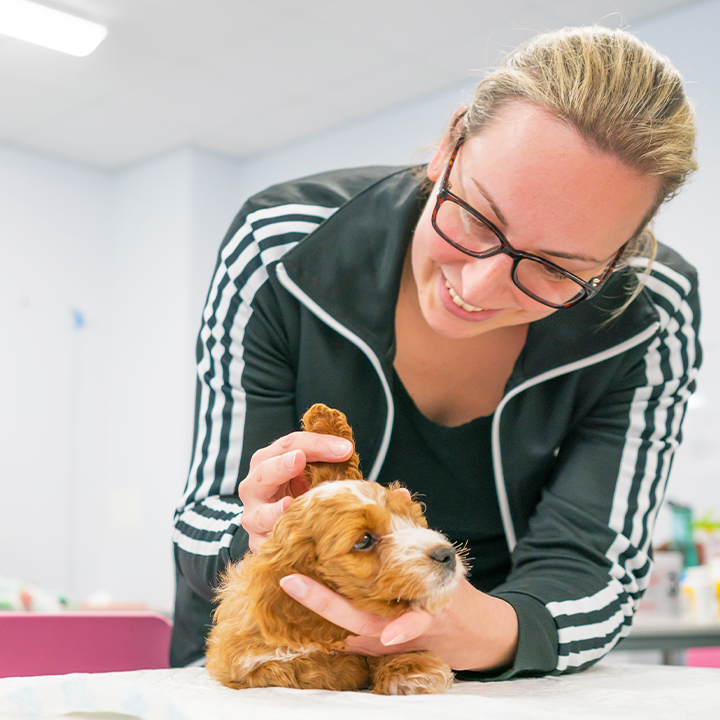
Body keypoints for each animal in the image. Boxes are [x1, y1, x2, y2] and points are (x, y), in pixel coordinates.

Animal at [205, 404, 462, 692]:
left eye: (413, 520)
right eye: (364, 541)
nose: (447, 554)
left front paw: (410, 670)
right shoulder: (241, 663)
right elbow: (305, 670)